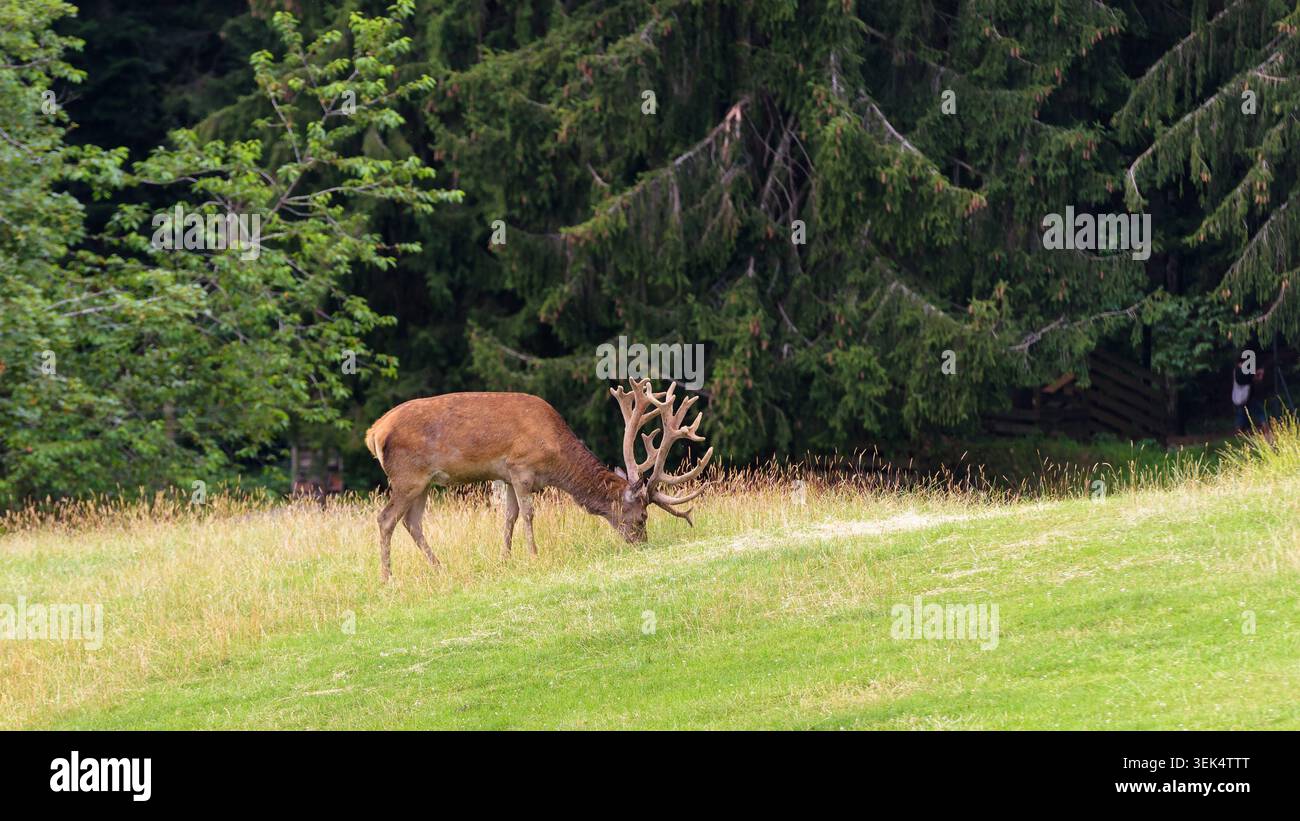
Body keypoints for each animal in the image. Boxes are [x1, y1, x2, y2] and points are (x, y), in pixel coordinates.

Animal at [363, 379, 712, 581]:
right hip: (407, 476)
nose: (642, 544)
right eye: (641, 517)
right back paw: (387, 578)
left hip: (424, 483)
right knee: (386, 518)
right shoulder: (520, 467)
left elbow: (510, 516)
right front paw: (533, 554)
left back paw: (439, 568)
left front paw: (505, 559)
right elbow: (528, 514)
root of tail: (375, 432)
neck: (555, 456)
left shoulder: (504, 476)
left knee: (412, 522)